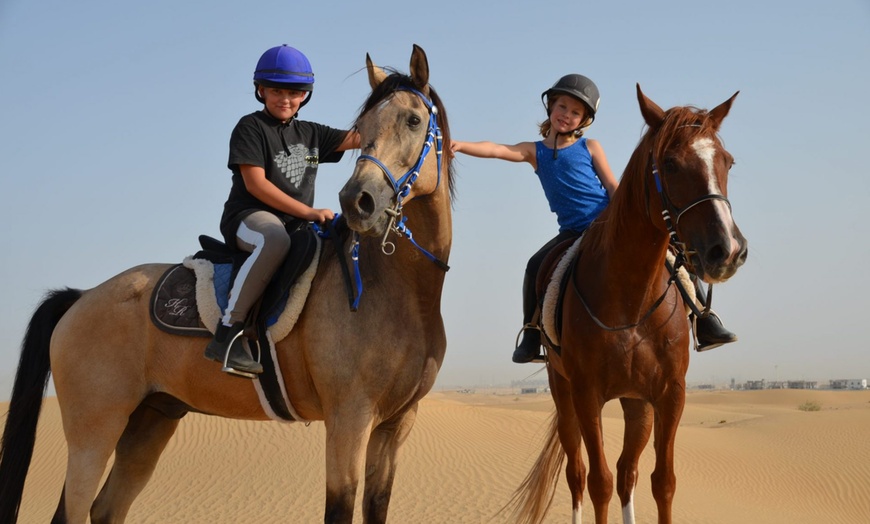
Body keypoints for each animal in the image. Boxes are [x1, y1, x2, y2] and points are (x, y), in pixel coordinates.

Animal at [0, 45, 454, 524]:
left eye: (413, 120)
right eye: (362, 129)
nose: (357, 202)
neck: (400, 293)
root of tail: (83, 298)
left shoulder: (394, 425)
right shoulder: (349, 419)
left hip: (151, 420)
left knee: (106, 508)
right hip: (95, 431)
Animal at [510, 85, 748, 524]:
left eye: (726, 161)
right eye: (670, 163)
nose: (728, 251)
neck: (632, 301)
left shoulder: (669, 395)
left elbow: (662, 482)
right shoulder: (587, 395)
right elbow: (598, 482)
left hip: (636, 403)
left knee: (627, 472)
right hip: (563, 393)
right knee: (578, 474)